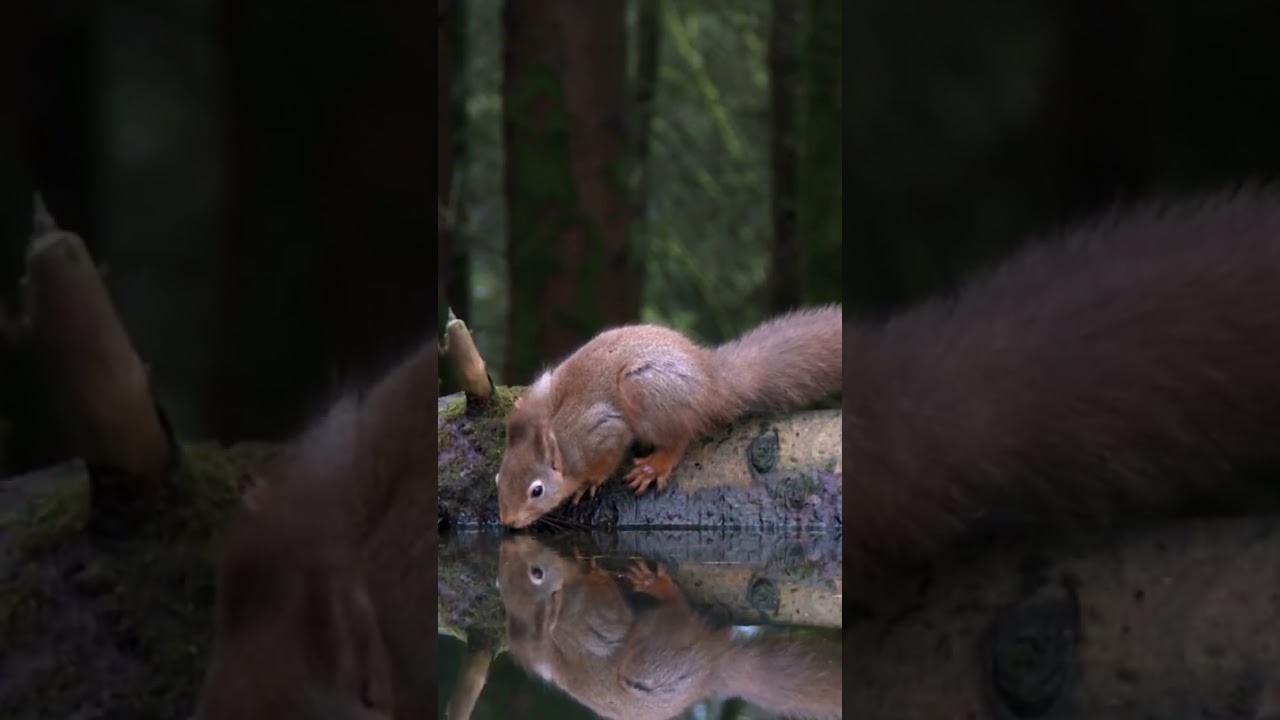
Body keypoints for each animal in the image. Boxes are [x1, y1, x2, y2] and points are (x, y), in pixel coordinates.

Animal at [496, 304, 842, 528]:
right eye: (498, 478)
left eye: (537, 491)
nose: (508, 521)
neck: (556, 432)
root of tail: (709, 381)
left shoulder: (600, 433)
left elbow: (607, 459)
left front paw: (587, 483)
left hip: (644, 391)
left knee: (680, 437)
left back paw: (654, 466)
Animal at [496, 536, 843, 720]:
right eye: (537, 573)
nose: (509, 543)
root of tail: (712, 669)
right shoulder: (588, 618)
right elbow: (612, 610)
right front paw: (593, 571)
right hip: (656, 646)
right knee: (677, 610)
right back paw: (659, 586)